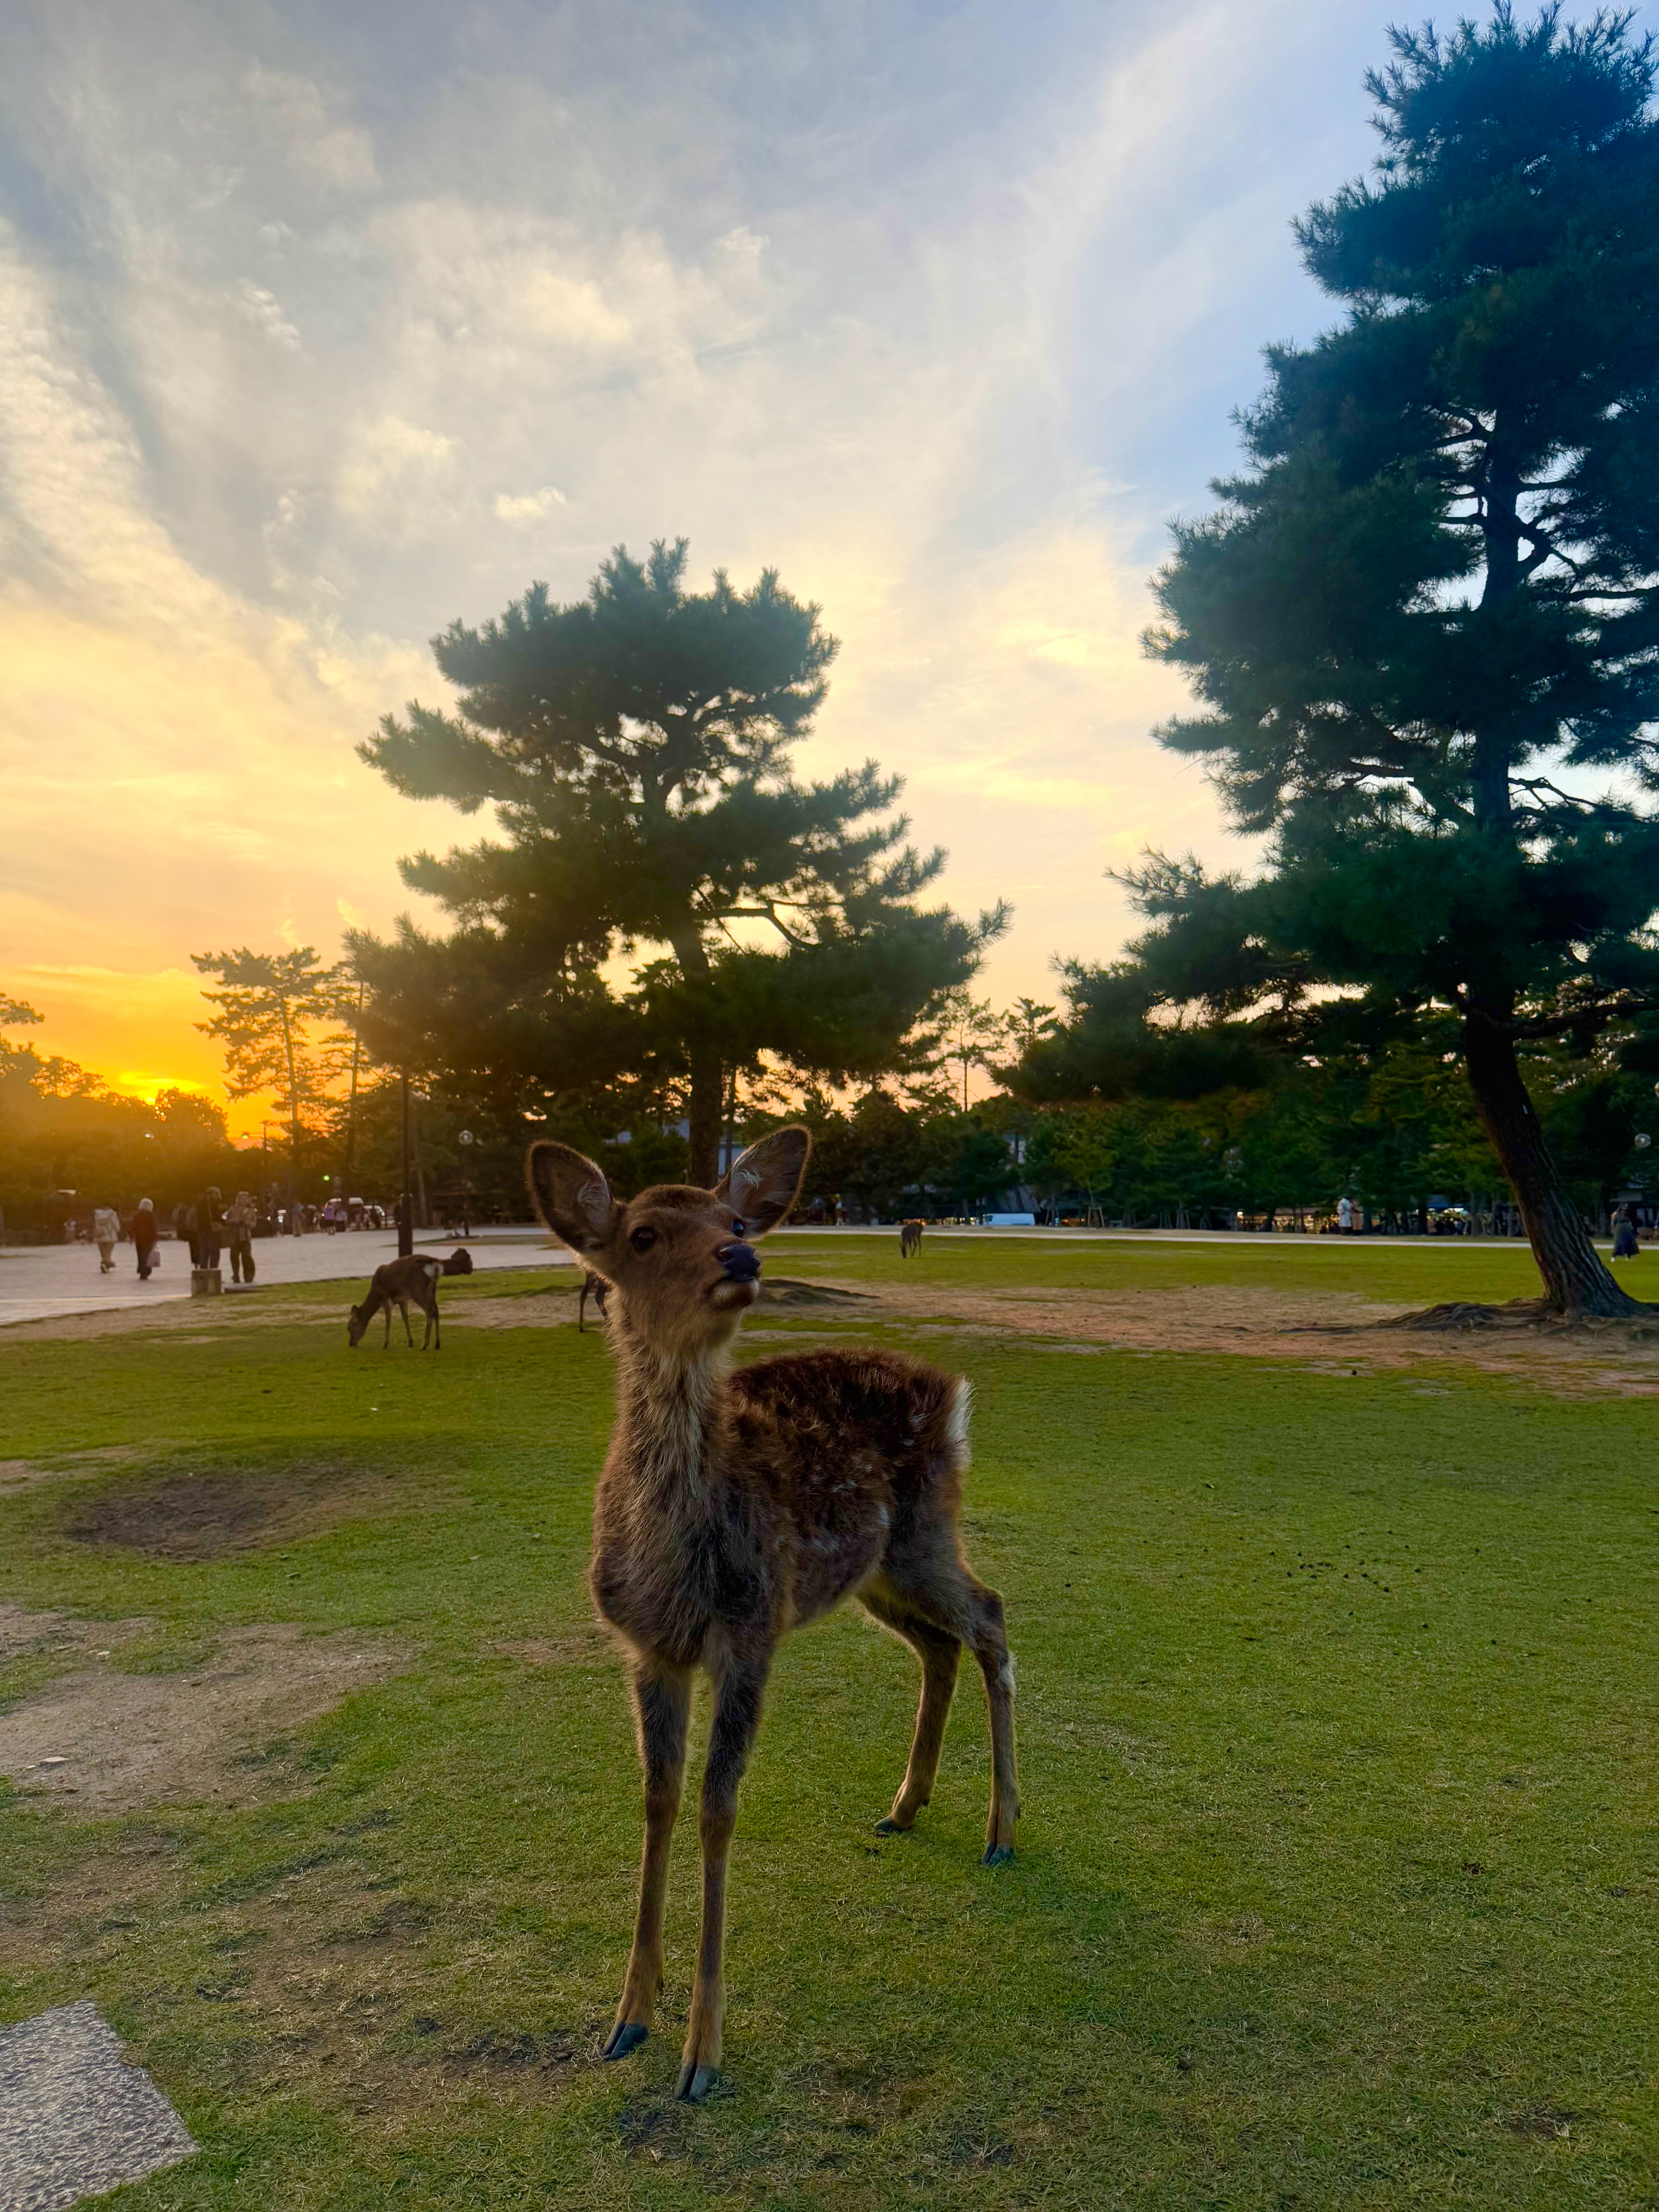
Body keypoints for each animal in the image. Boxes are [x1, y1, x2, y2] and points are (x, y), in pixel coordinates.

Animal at [346, 1247, 474, 1350]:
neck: (376, 1295)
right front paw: (410, 1342)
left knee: (430, 1311)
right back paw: (437, 1344)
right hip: (432, 1290)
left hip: (418, 1290)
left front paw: (385, 1344)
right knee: (437, 1311)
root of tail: (434, 1262)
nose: (351, 1344)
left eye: (349, 1327)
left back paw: (424, 1345)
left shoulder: (386, 1298)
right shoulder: (402, 1299)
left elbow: (388, 1319)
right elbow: (405, 1318)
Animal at [525, 1126, 1018, 2104]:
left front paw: (701, 2056)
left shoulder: (750, 1634)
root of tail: (951, 1391)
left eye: (738, 1219)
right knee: (940, 1644)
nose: (741, 1257)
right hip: (871, 1574)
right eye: (642, 1234)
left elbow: (717, 1809)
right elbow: (657, 1797)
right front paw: (628, 2016)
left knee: (990, 1617)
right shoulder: (650, 1649)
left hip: (923, 1536)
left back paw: (1000, 1831)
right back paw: (905, 1806)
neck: (676, 1564)